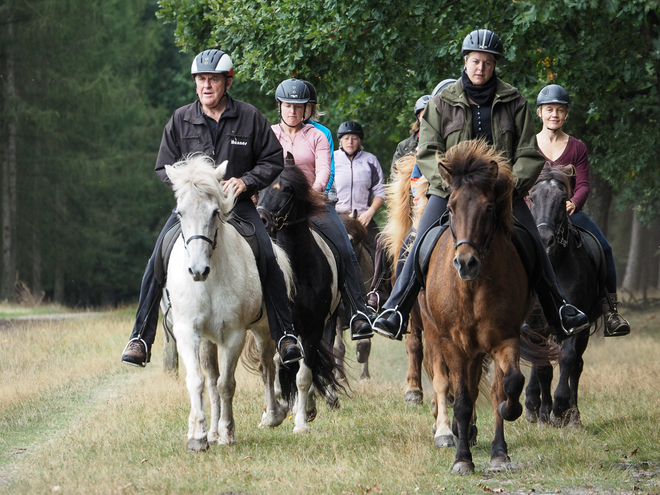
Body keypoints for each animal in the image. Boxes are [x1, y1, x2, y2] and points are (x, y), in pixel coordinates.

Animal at [164, 155, 290, 454]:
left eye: (213, 213)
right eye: (180, 213)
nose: (197, 270)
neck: (209, 281)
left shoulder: (234, 334)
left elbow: (227, 384)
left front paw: (228, 432)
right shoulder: (188, 332)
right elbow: (199, 381)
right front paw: (199, 436)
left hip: (263, 331)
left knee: (267, 366)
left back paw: (273, 415)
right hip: (208, 340)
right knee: (210, 380)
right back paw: (209, 431)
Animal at [256, 154, 346, 434]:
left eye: (287, 188)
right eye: (259, 188)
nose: (263, 220)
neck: (297, 268)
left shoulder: (314, 327)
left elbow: (303, 375)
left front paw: (301, 423)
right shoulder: (280, 325)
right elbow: (278, 364)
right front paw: (275, 412)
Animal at [420, 139, 548, 472]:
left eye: (489, 207)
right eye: (450, 208)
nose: (466, 263)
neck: (472, 288)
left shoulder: (505, 338)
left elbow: (508, 385)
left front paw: (501, 444)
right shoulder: (453, 343)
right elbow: (463, 400)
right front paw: (462, 459)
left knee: (485, 386)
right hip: (435, 333)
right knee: (451, 384)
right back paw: (450, 433)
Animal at [524, 165, 604, 428]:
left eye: (562, 200)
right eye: (532, 197)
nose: (545, 240)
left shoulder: (577, 322)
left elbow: (568, 359)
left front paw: (559, 408)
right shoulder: (536, 325)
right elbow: (543, 367)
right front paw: (544, 412)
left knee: (576, 365)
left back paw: (573, 416)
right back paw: (534, 406)